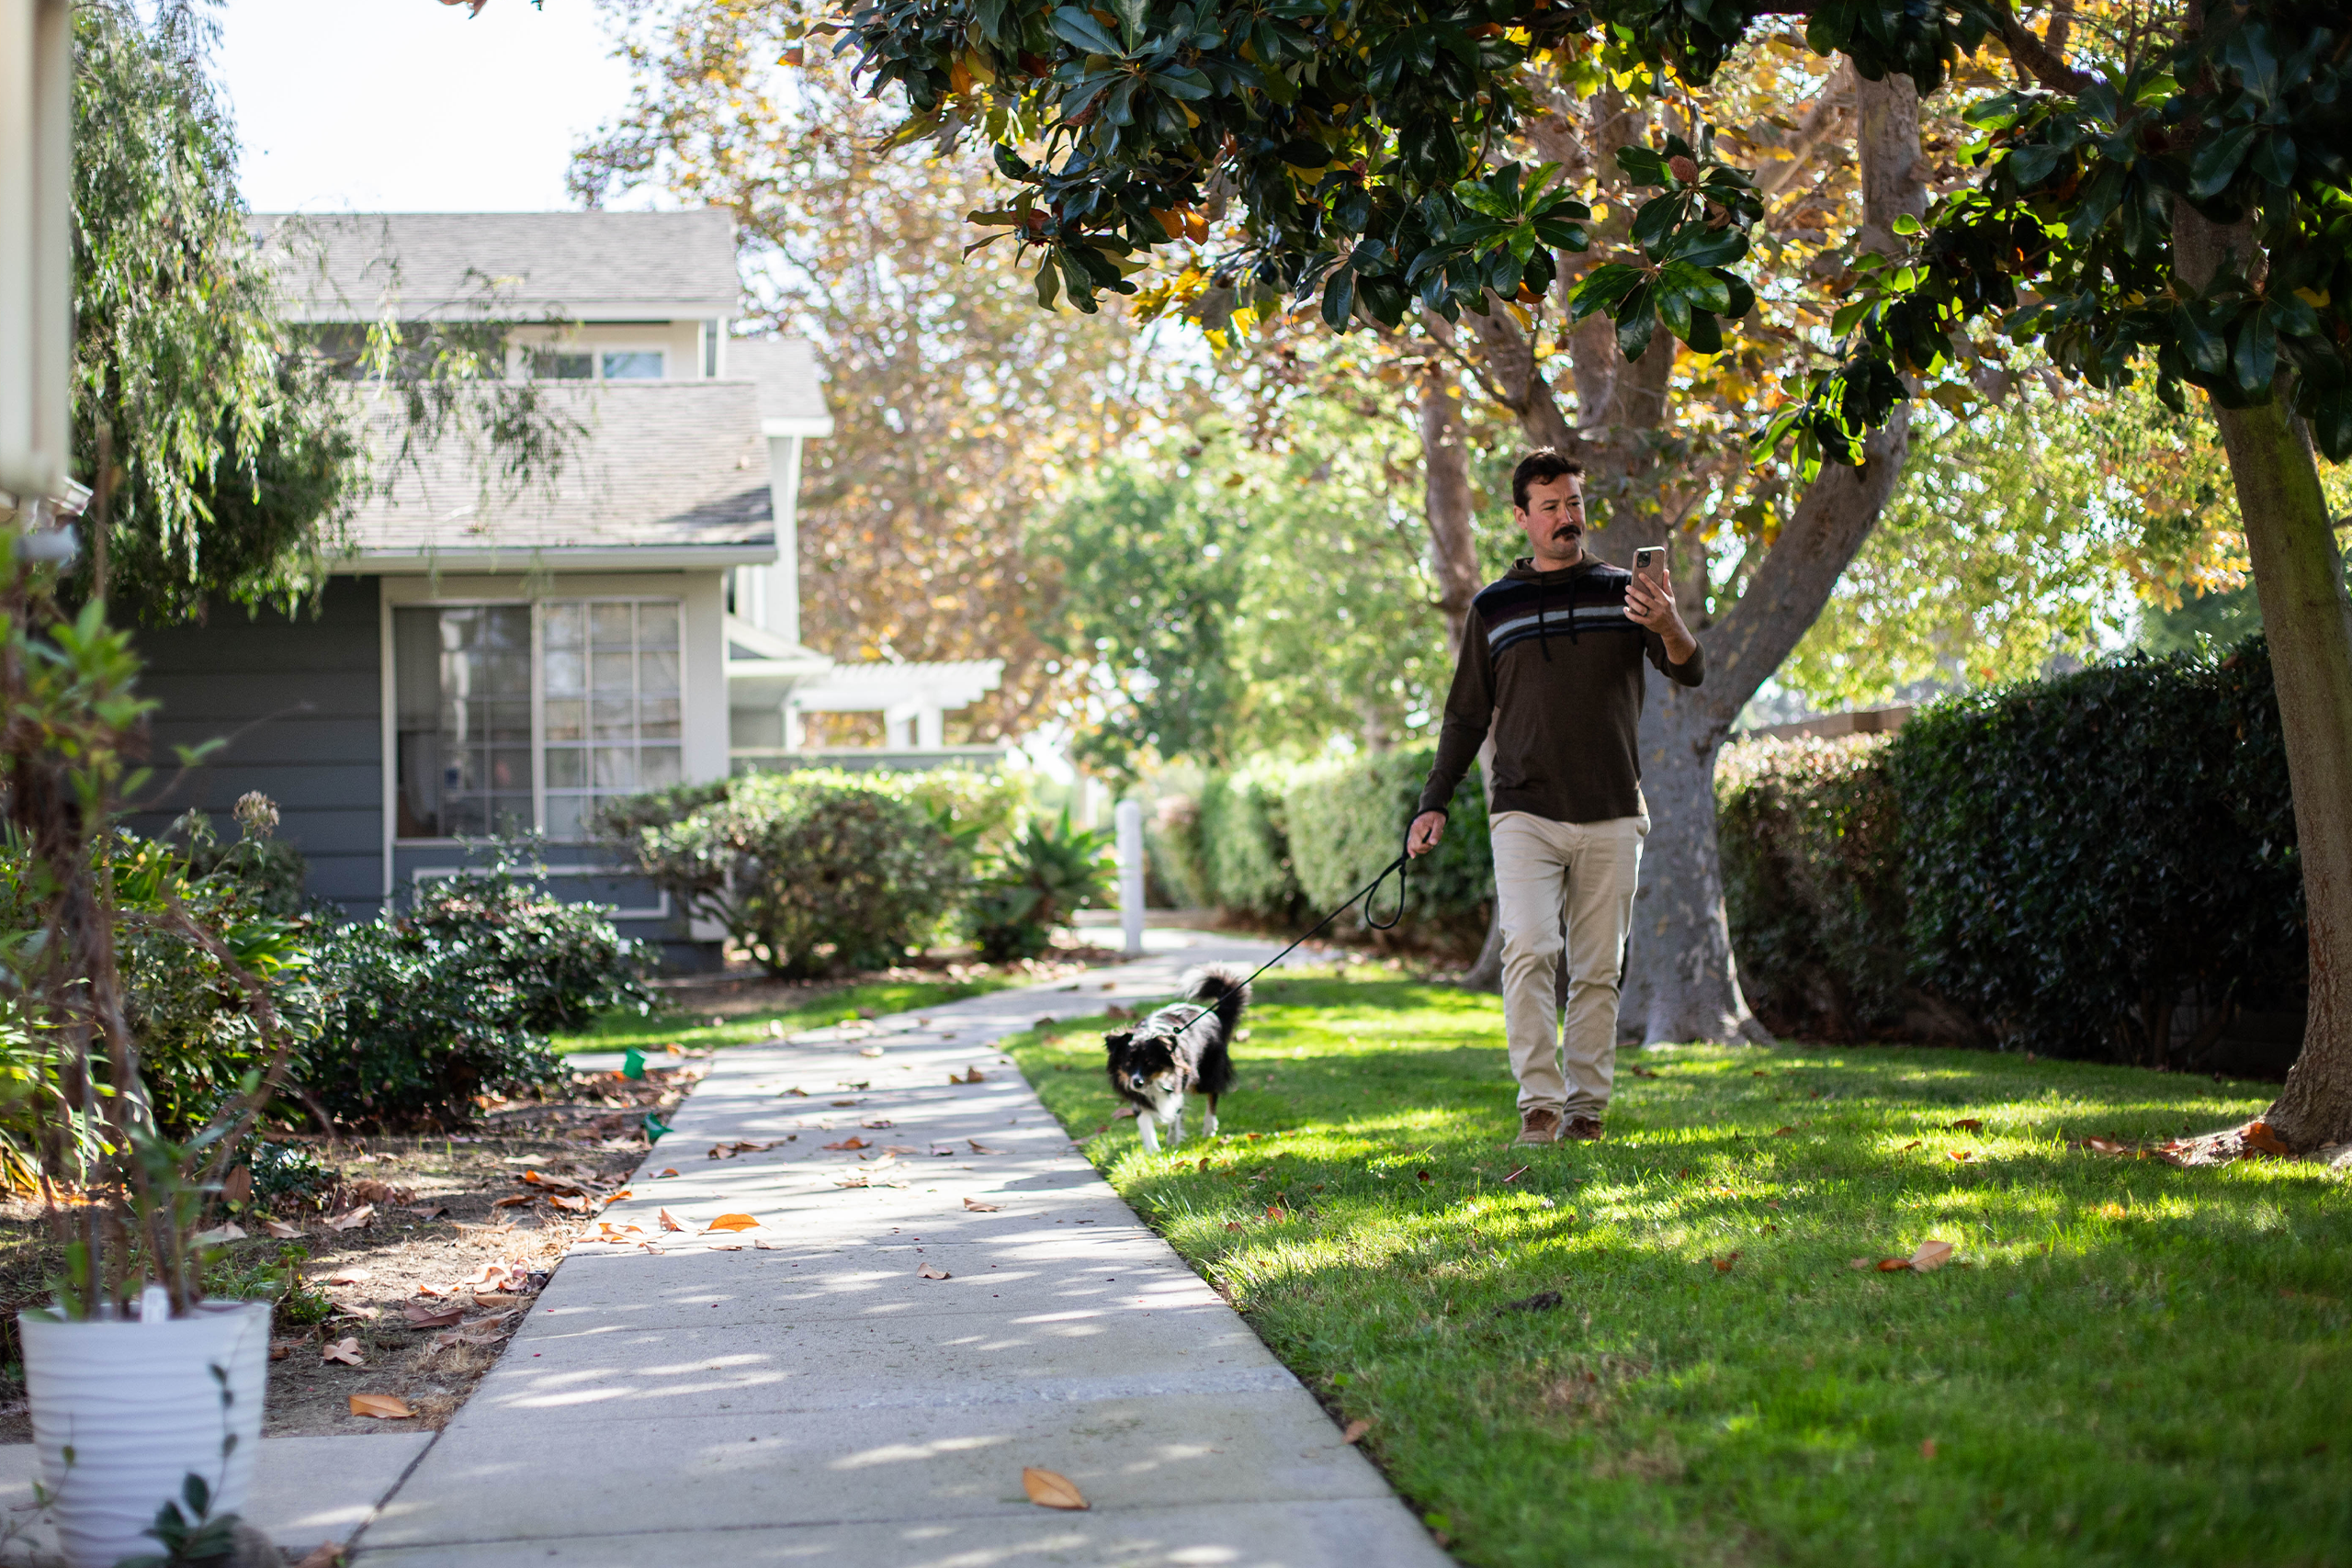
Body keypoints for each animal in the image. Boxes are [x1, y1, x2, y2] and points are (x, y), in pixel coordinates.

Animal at [1101, 959, 1250, 1152]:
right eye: (1128, 1062)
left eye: (1149, 1062)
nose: (1137, 1083)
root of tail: (1212, 1013)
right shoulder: (1136, 1094)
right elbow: (1145, 1121)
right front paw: (1153, 1151)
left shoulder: (1177, 1082)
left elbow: (1174, 1114)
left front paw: (1172, 1141)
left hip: (1206, 1071)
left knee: (1212, 1094)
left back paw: (1209, 1127)